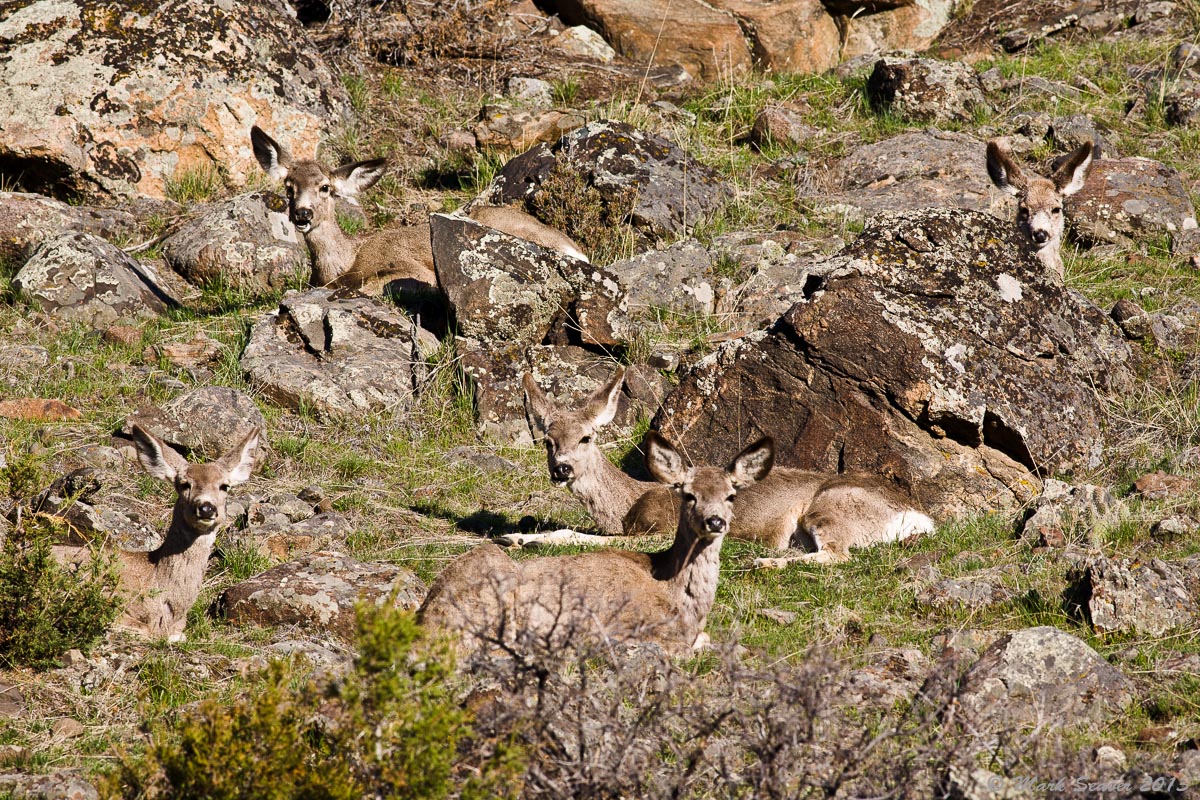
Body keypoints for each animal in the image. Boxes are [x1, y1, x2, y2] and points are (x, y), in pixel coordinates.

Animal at [249, 126, 588, 294]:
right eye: (289, 187)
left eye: (325, 188)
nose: (302, 215)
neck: (345, 261)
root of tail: (578, 251)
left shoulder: (411, 269)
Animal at [515, 367, 935, 569]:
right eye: (548, 441)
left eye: (586, 438)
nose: (562, 469)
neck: (624, 507)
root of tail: (916, 516)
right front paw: (518, 537)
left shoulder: (660, 529)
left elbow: (582, 536)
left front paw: (524, 540)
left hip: (830, 507)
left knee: (838, 554)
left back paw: (763, 561)